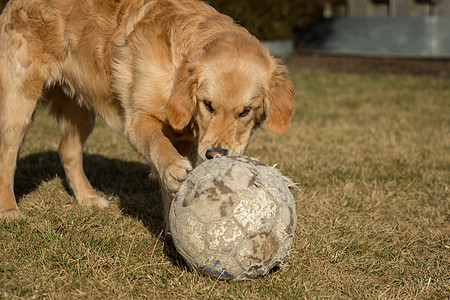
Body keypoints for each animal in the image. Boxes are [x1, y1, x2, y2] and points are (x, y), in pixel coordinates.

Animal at [0, 0, 296, 226]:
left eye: (245, 111)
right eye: (208, 104)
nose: (215, 155)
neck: (176, 73)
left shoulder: (189, 140)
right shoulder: (138, 119)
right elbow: (158, 143)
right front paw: (173, 167)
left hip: (81, 109)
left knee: (67, 149)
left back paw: (87, 198)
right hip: (20, 103)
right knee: (7, 154)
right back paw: (9, 211)